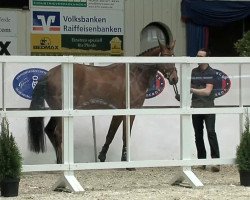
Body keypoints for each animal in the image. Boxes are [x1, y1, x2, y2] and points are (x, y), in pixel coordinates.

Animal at [28, 39, 179, 163]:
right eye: (166, 58)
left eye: (174, 57)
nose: (174, 78)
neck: (133, 76)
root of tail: (48, 74)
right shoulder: (129, 111)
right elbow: (125, 135)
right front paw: (126, 162)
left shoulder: (118, 112)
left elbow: (111, 134)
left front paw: (102, 156)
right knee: (58, 133)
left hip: (56, 111)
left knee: (49, 130)